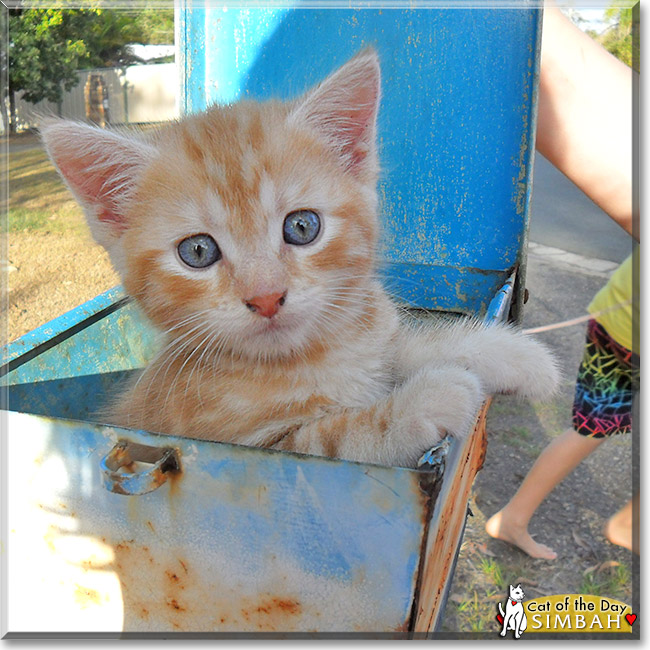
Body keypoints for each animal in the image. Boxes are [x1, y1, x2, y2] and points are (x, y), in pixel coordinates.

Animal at [41, 49, 556, 466]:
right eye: (198, 251)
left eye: (302, 227)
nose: (266, 297)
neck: (311, 356)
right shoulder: (248, 448)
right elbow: (334, 436)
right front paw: (428, 399)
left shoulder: (375, 338)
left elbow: (412, 345)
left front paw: (514, 356)